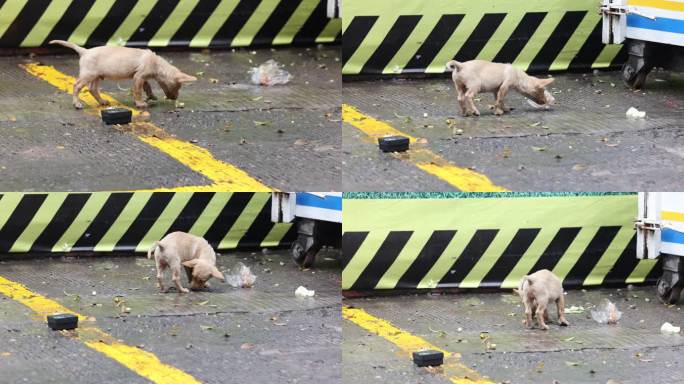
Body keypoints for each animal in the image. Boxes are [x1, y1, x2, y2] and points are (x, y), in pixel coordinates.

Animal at [48, 40, 196, 109]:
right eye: (177, 87)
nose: (175, 98)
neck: (156, 63)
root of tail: (85, 51)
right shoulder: (139, 77)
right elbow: (138, 91)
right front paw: (140, 103)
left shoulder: (141, 77)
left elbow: (147, 87)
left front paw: (151, 96)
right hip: (88, 75)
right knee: (76, 86)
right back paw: (77, 103)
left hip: (96, 76)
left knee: (92, 89)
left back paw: (102, 101)